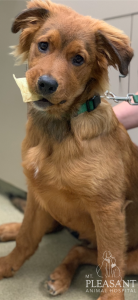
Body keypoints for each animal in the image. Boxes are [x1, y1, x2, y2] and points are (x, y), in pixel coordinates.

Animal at [0, 0, 138, 300]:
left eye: (78, 60)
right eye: (43, 45)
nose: (45, 84)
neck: (60, 129)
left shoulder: (108, 209)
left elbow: (111, 262)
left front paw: (111, 297)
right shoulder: (37, 189)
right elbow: (27, 237)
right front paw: (7, 265)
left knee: (85, 251)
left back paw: (61, 275)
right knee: (54, 232)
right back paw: (9, 229)